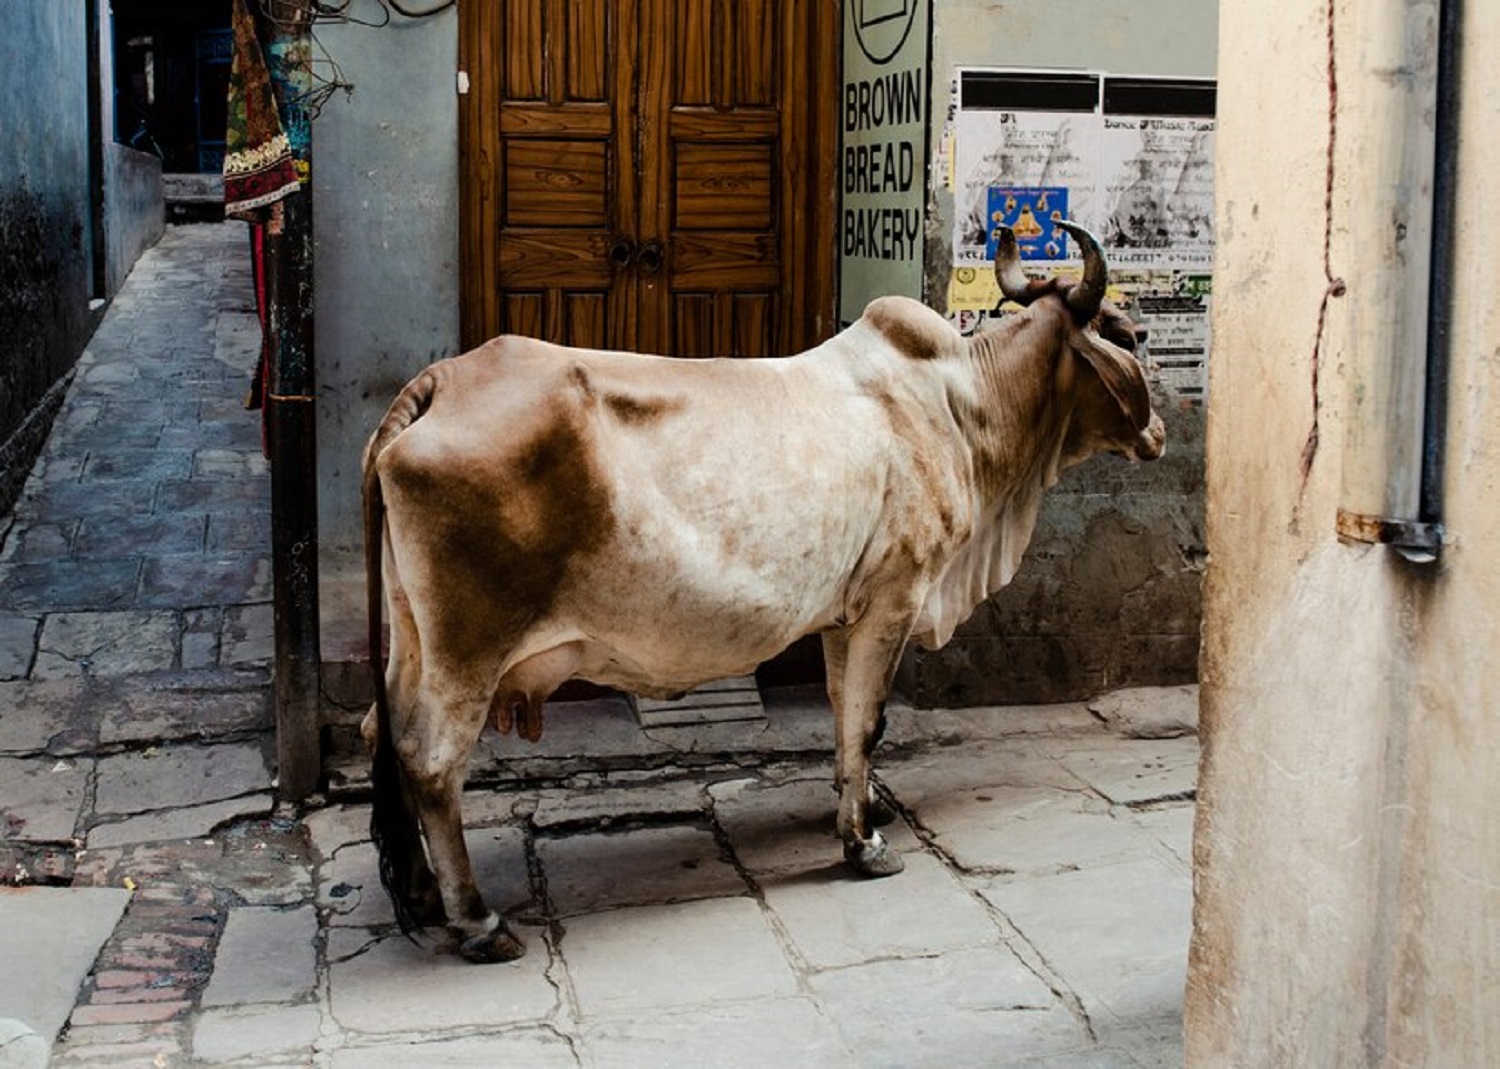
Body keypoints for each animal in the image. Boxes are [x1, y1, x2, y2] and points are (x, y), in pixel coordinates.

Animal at [360, 218, 1158, 959]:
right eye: (1131, 332)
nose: (1158, 437)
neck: (963, 405)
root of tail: (441, 382)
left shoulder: (845, 615)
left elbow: (845, 716)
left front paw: (862, 807)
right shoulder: (895, 598)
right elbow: (869, 722)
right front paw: (863, 845)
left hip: (413, 641)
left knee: (386, 736)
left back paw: (423, 893)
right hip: (468, 652)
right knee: (432, 761)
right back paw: (477, 920)